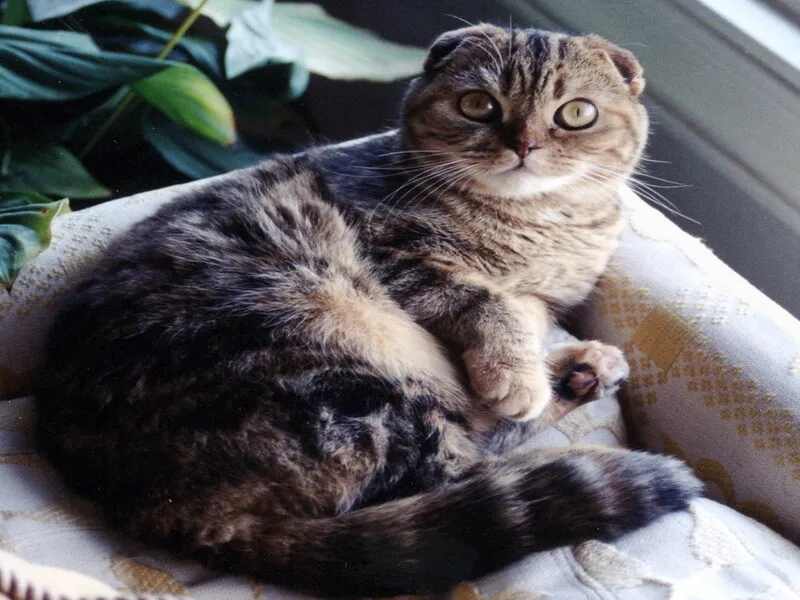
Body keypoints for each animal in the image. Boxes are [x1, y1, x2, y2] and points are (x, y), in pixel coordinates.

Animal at [36, 22, 700, 596]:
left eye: (577, 113)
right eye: (478, 106)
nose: (525, 145)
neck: (533, 228)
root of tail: (167, 510)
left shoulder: (542, 298)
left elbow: (524, 319)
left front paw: (537, 360)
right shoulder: (399, 258)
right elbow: (488, 306)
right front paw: (517, 374)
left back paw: (581, 371)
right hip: (351, 365)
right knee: (457, 467)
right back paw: (567, 382)